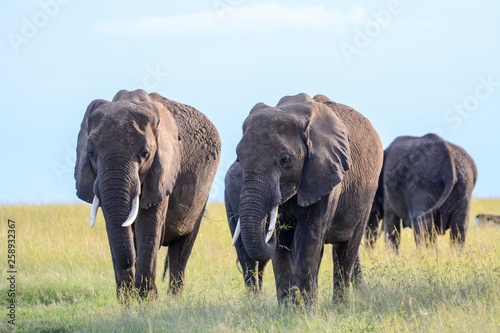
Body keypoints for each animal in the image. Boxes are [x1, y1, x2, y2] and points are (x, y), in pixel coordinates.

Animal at [74, 89, 221, 298]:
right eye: (91, 153)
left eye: (145, 153)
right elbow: (114, 227)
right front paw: (127, 302)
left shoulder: (163, 170)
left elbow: (149, 224)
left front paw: (146, 300)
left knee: (181, 250)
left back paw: (175, 299)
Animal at [230, 93, 382, 304]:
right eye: (239, 159)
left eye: (285, 159)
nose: (266, 225)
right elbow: (283, 240)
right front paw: (288, 308)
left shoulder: (324, 172)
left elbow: (308, 234)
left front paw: (303, 310)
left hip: (368, 190)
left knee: (345, 250)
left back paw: (340, 306)